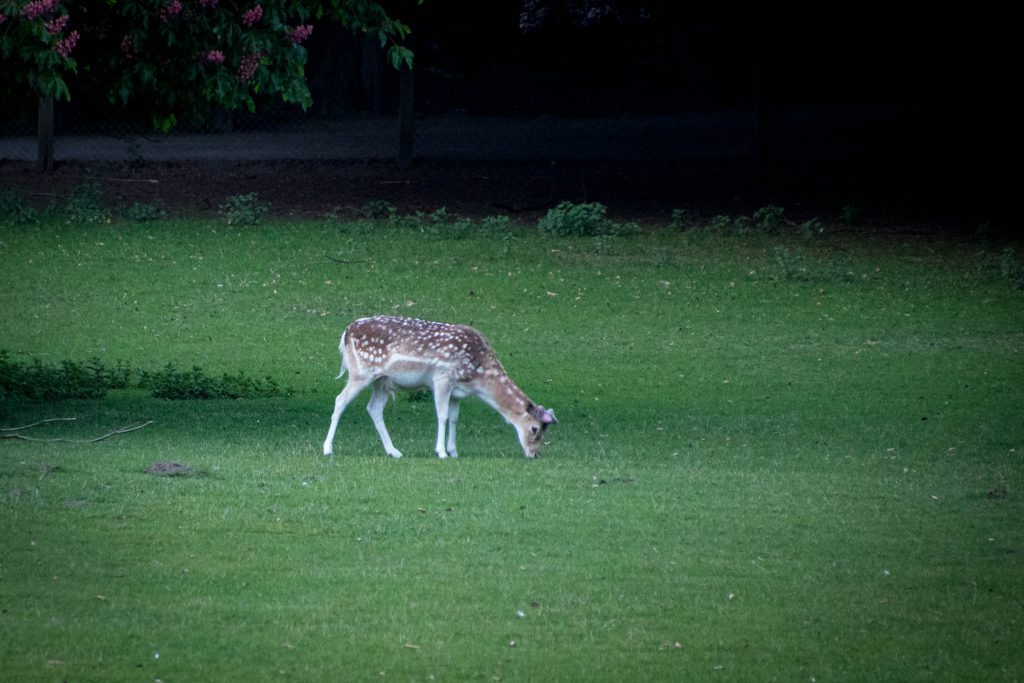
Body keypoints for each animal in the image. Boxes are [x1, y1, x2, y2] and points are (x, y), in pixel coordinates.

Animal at [321, 317, 557, 462]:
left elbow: (454, 418)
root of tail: (346, 333)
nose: (535, 454)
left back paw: (393, 451)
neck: (477, 377)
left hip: (382, 380)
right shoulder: (443, 377)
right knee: (340, 400)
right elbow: (442, 416)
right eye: (535, 428)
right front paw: (441, 451)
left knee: (374, 408)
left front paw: (454, 451)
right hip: (361, 372)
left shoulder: (458, 392)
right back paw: (327, 449)